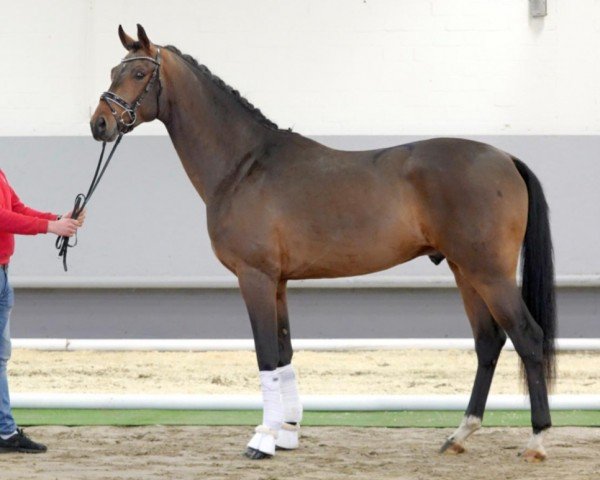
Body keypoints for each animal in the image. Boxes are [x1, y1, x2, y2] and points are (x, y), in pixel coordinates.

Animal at [90, 25, 556, 462]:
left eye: (138, 73)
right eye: (112, 71)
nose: (99, 124)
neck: (244, 165)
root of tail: (505, 159)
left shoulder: (254, 278)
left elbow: (265, 356)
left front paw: (262, 439)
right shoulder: (278, 283)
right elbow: (283, 354)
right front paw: (286, 434)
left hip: (489, 273)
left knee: (527, 337)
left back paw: (537, 440)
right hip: (465, 271)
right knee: (488, 342)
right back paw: (459, 435)